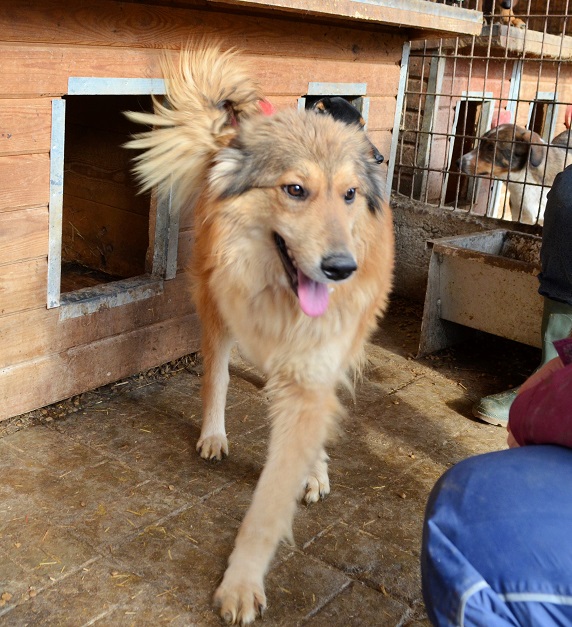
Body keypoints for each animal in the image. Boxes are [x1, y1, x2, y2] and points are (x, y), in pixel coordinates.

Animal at [125, 46, 394, 624]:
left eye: (349, 195)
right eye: (295, 189)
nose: (341, 268)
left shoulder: (315, 372)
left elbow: (279, 484)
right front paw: (242, 584)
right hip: (216, 310)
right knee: (218, 376)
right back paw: (214, 434)